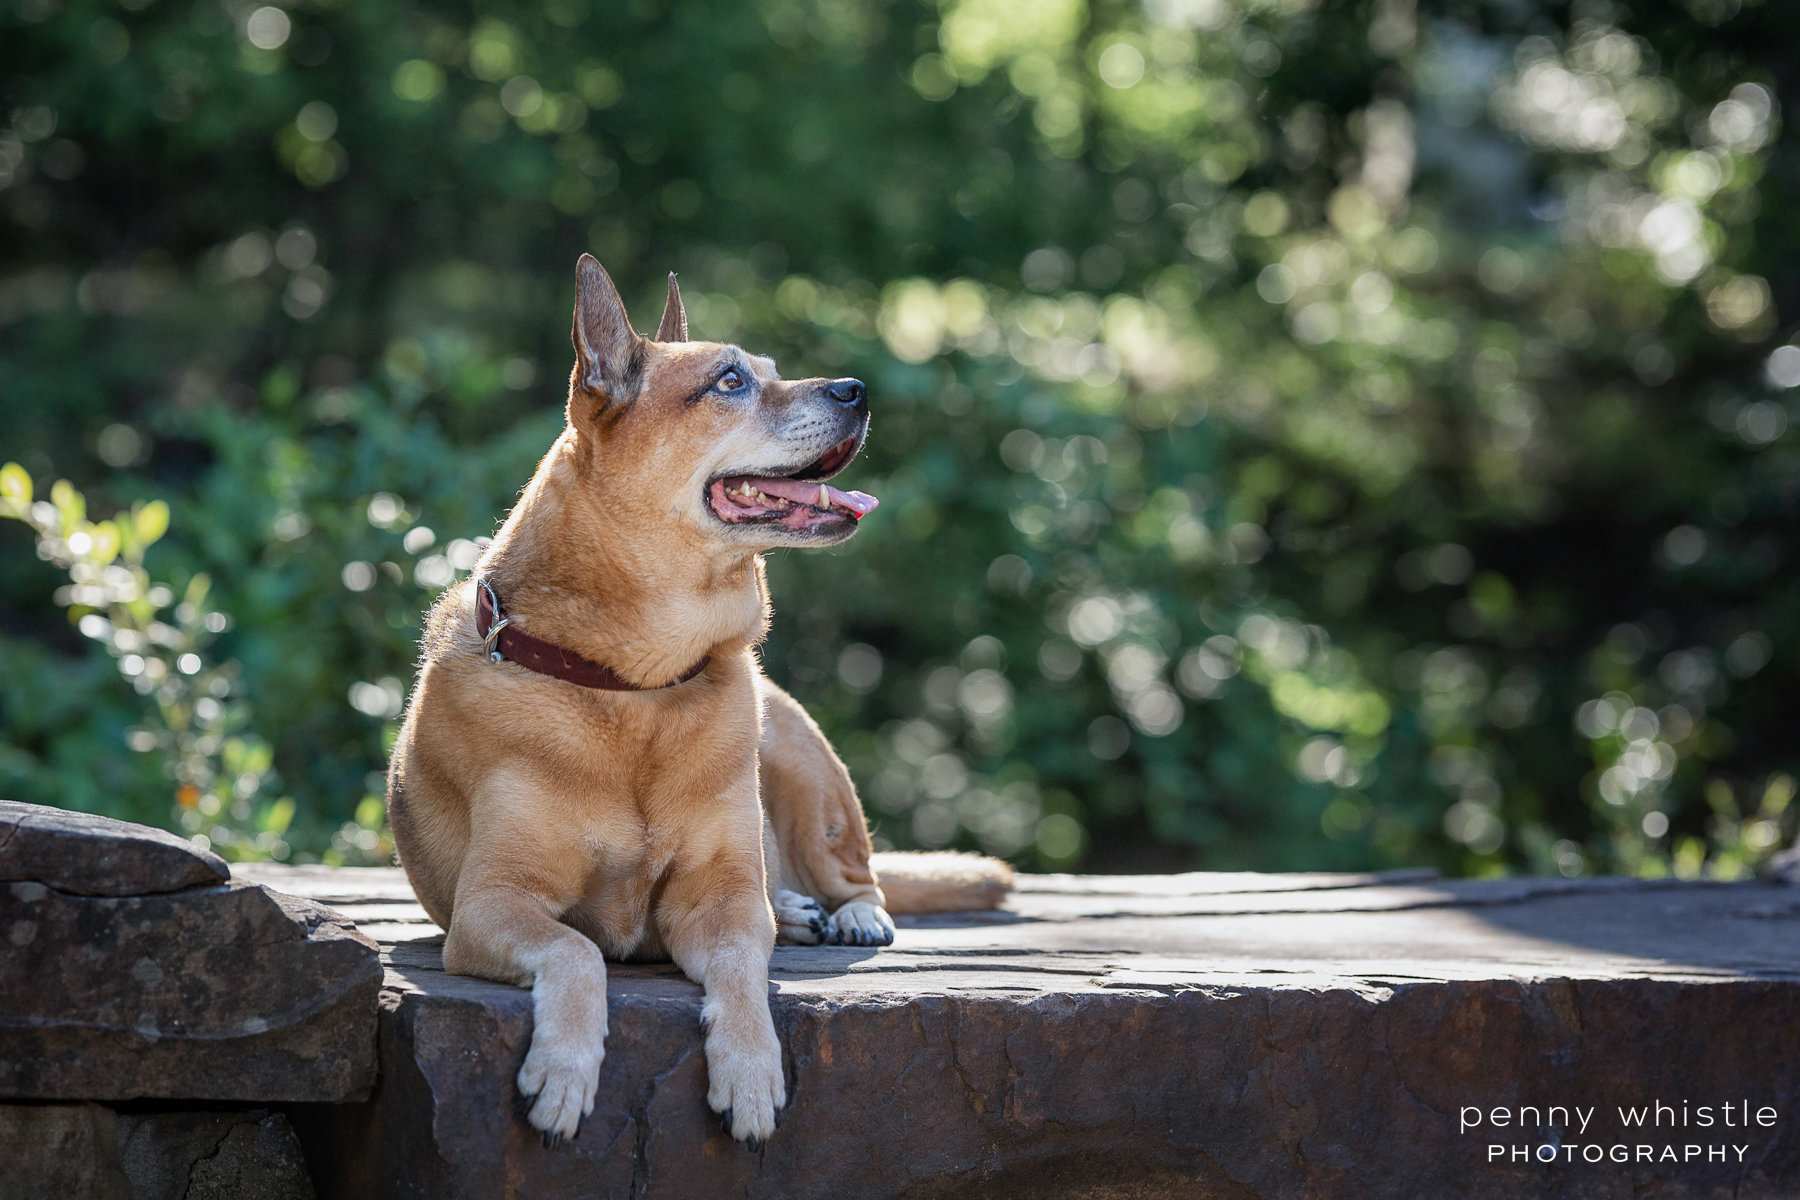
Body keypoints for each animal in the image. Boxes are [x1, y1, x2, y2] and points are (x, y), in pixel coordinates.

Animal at [385, 259, 1015, 1151]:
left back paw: (846, 915)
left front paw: (749, 1069)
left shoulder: (721, 901)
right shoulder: (492, 905)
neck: (637, 685)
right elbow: (577, 953)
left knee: (856, 876)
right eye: (730, 380)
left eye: (771, 369)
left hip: (808, 773)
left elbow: (744, 969)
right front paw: (566, 1069)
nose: (859, 388)